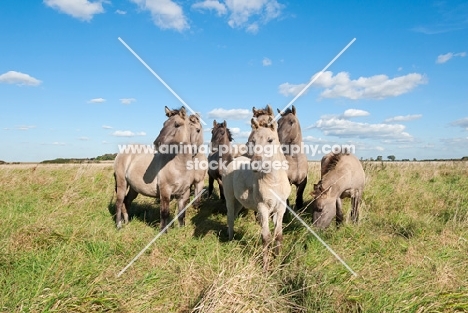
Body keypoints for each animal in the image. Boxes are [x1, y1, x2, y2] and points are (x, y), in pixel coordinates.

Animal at [222, 116, 290, 270]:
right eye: (252, 141)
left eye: (270, 140)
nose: (255, 164)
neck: (274, 182)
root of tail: (234, 160)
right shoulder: (262, 208)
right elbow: (266, 237)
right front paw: (265, 266)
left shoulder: (281, 208)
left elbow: (278, 234)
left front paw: (278, 259)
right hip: (229, 198)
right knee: (230, 217)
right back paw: (230, 240)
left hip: (240, 202)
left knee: (234, 215)